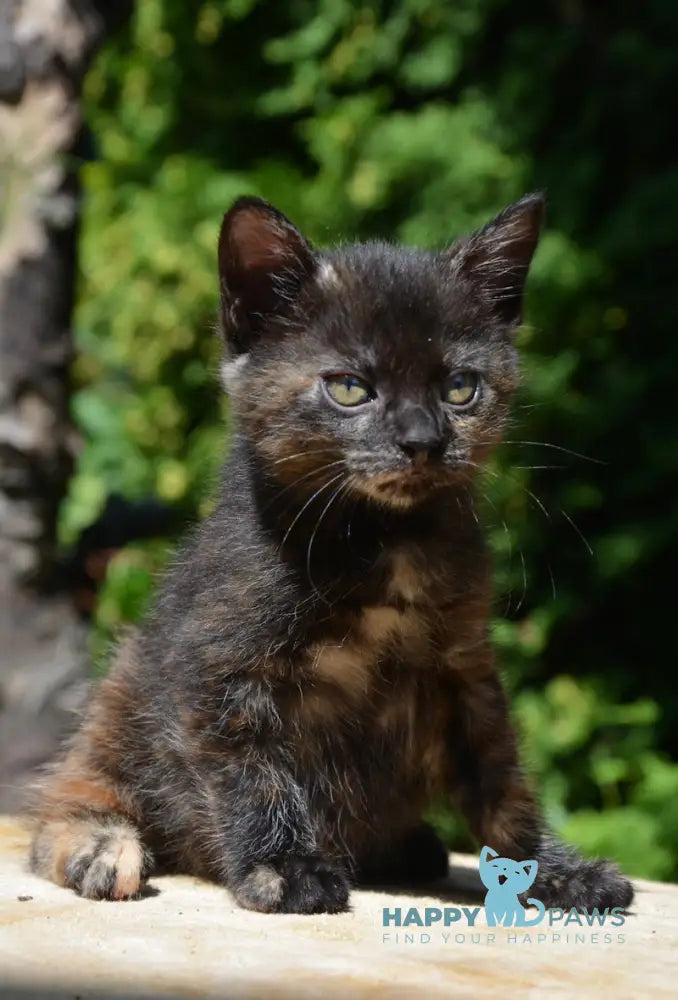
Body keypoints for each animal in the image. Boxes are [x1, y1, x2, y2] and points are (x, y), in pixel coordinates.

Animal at [26, 193, 636, 916]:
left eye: (461, 387)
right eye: (350, 388)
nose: (423, 441)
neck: (382, 543)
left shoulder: (465, 668)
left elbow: (502, 779)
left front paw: (551, 869)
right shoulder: (218, 667)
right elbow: (255, 775)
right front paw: (284, 868)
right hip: (123, 687)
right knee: (66, 803)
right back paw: (100, 848)